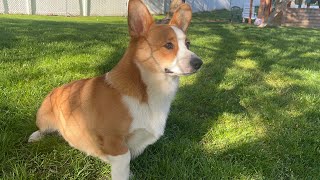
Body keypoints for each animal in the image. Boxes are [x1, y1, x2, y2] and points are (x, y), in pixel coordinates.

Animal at [28, 0, 202, 179]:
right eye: (168, 45)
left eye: (188, 44)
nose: (199, 63)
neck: (147, 91)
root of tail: (55, 90)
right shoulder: (115, 143)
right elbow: (123, 163)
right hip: (44, 119)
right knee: (43, 129)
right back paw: (35, 136)